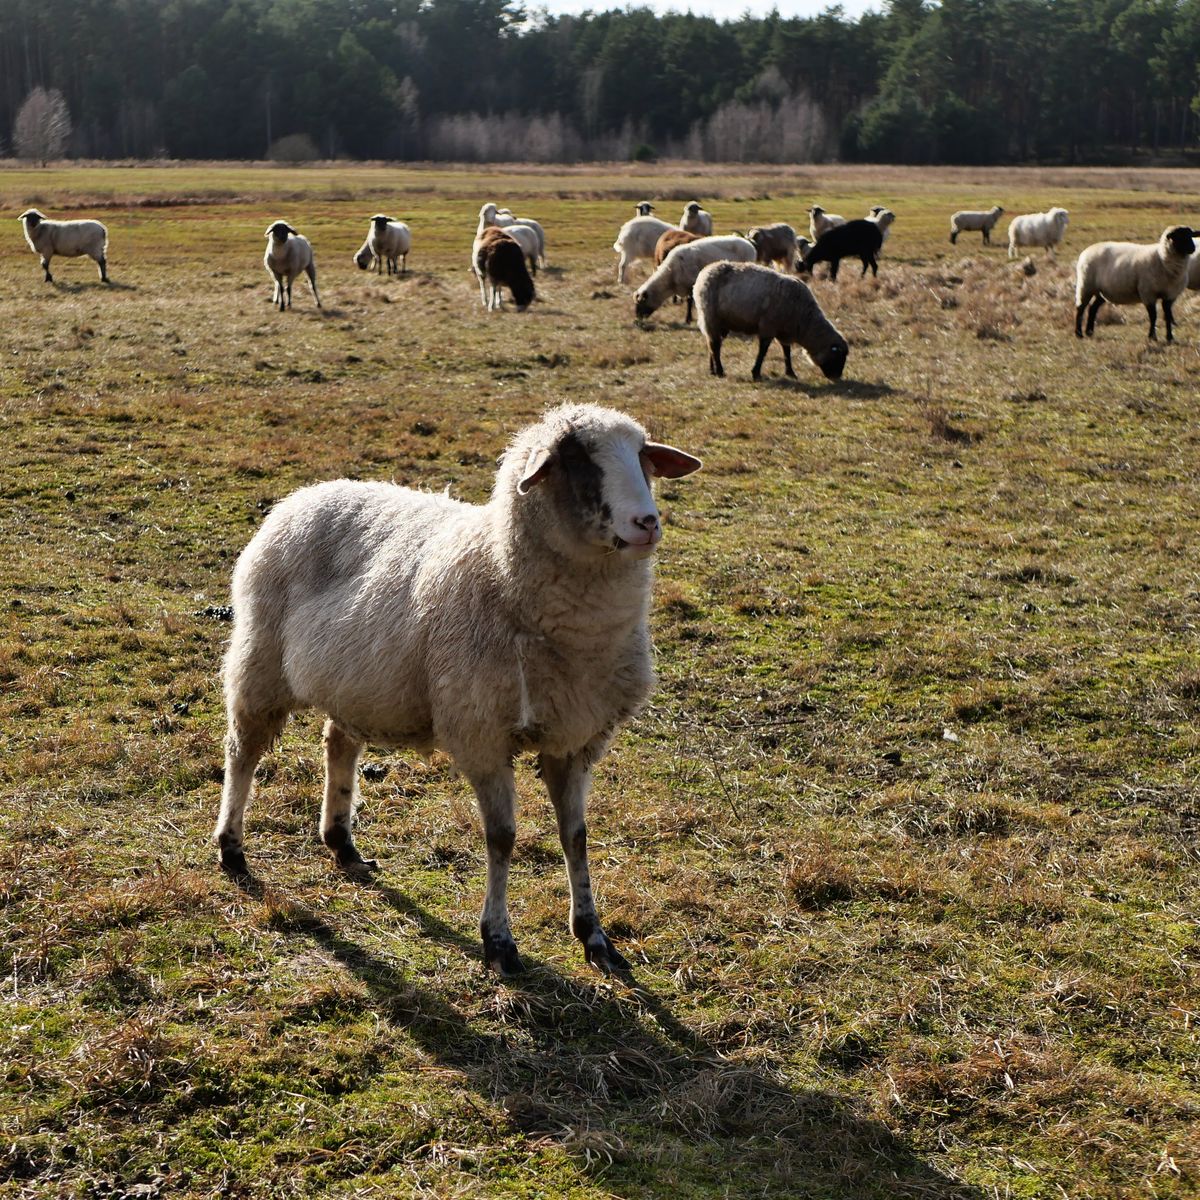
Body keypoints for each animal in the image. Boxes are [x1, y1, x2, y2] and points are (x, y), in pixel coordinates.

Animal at [216, 403, 700, 974]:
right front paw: (499, 940)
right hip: (260, 659)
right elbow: (503, 838)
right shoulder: (480, 732)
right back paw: (231, 847)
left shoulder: (577, 737)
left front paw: (593, 935)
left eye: (643, 455)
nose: (647, 523)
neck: (500, 570)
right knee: (242, 751)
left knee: (338, 742)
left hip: (355, 680)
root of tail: (309, 492)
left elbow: (576, 836)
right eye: (576, 457)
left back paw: (342, 843)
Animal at [691, 262, 849, 384]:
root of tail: (705, 271)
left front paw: (790, 372)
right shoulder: (768, 326)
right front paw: (756, 373)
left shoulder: (784, 330)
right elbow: (763, 351)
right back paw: (720, 371)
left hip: (720, 322)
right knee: (715, 345)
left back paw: (712, 370)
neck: (804, 319)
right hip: (710, 316)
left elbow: (786, 351)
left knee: (712, 344)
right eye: (838, 357)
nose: (837, 378)